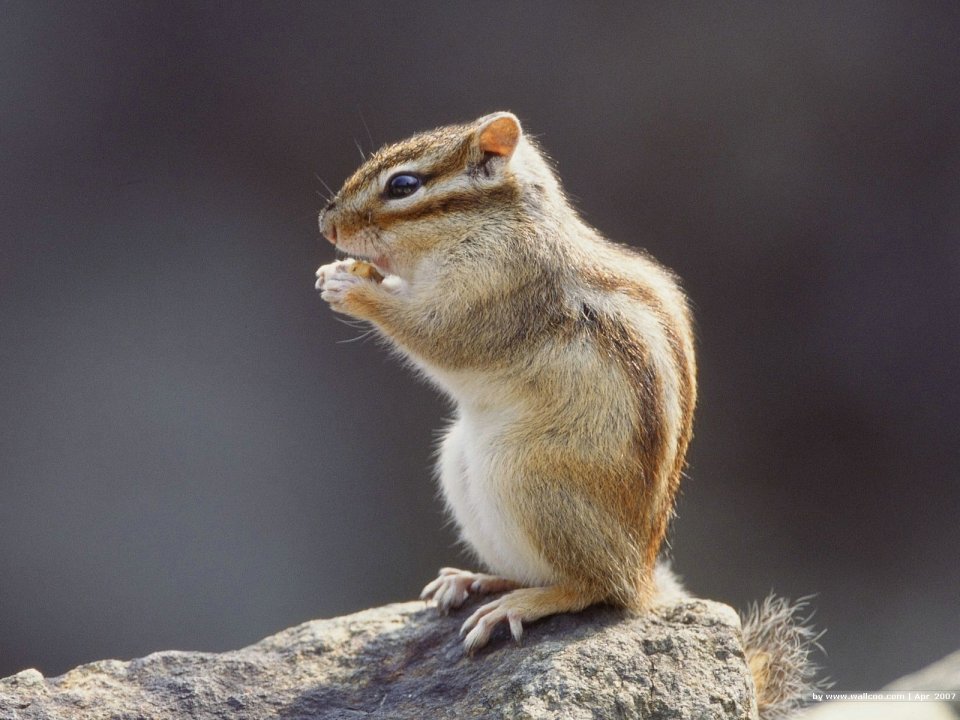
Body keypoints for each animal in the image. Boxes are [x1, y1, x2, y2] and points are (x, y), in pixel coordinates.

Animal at [315, 112, 821, 718]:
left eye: (403, 186)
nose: (325, 225)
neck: (492, 226)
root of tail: (643, 578)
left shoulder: (496, 292)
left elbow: (435, 335)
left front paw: (349, 285)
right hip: (461, 464)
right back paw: (474, 581)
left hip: (526, 474)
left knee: (595, 589)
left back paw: (521, 605)